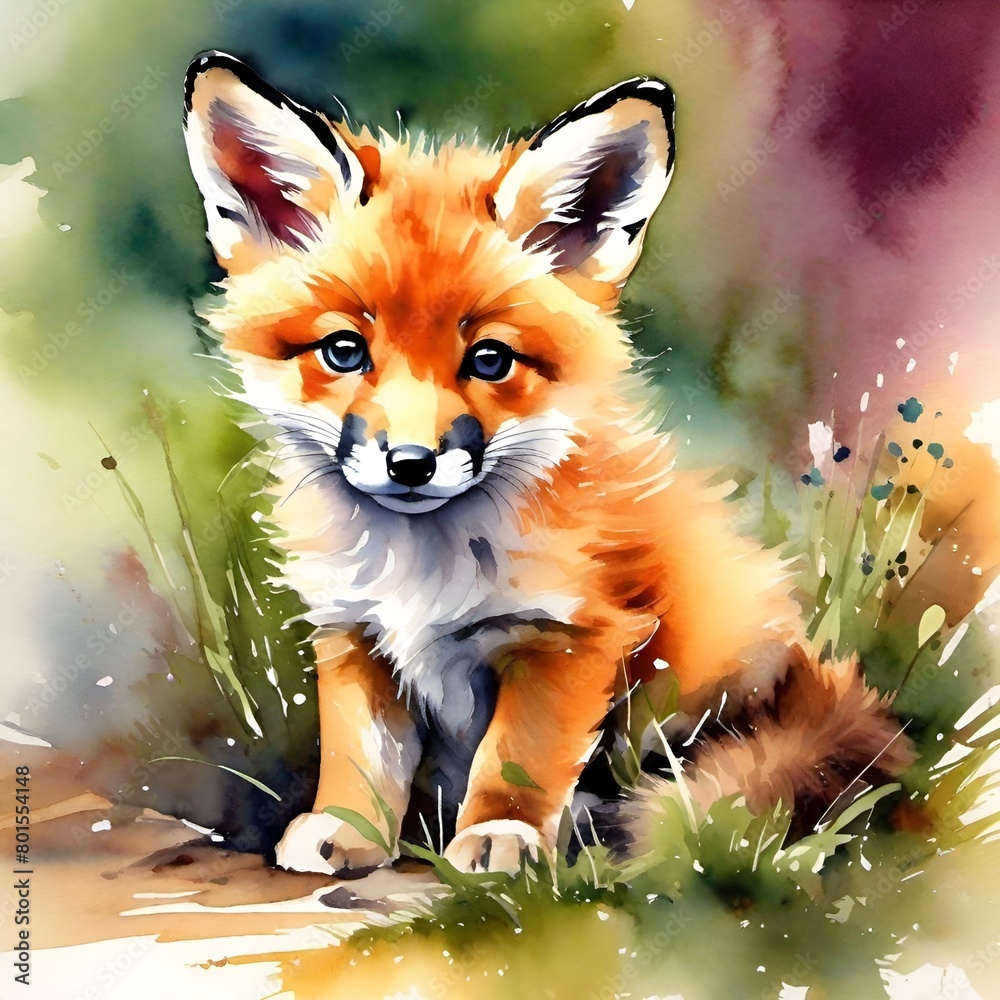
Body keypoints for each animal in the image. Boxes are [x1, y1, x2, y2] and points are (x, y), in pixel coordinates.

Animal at [182, 51, 912, 875]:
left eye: (490, 359)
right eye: (344, 351)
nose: (410, 463)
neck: (423, 569)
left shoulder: (567, 636)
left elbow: (517, 758)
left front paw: (502, 833)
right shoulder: (354, 631)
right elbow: (361, 754)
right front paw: (349, 829)